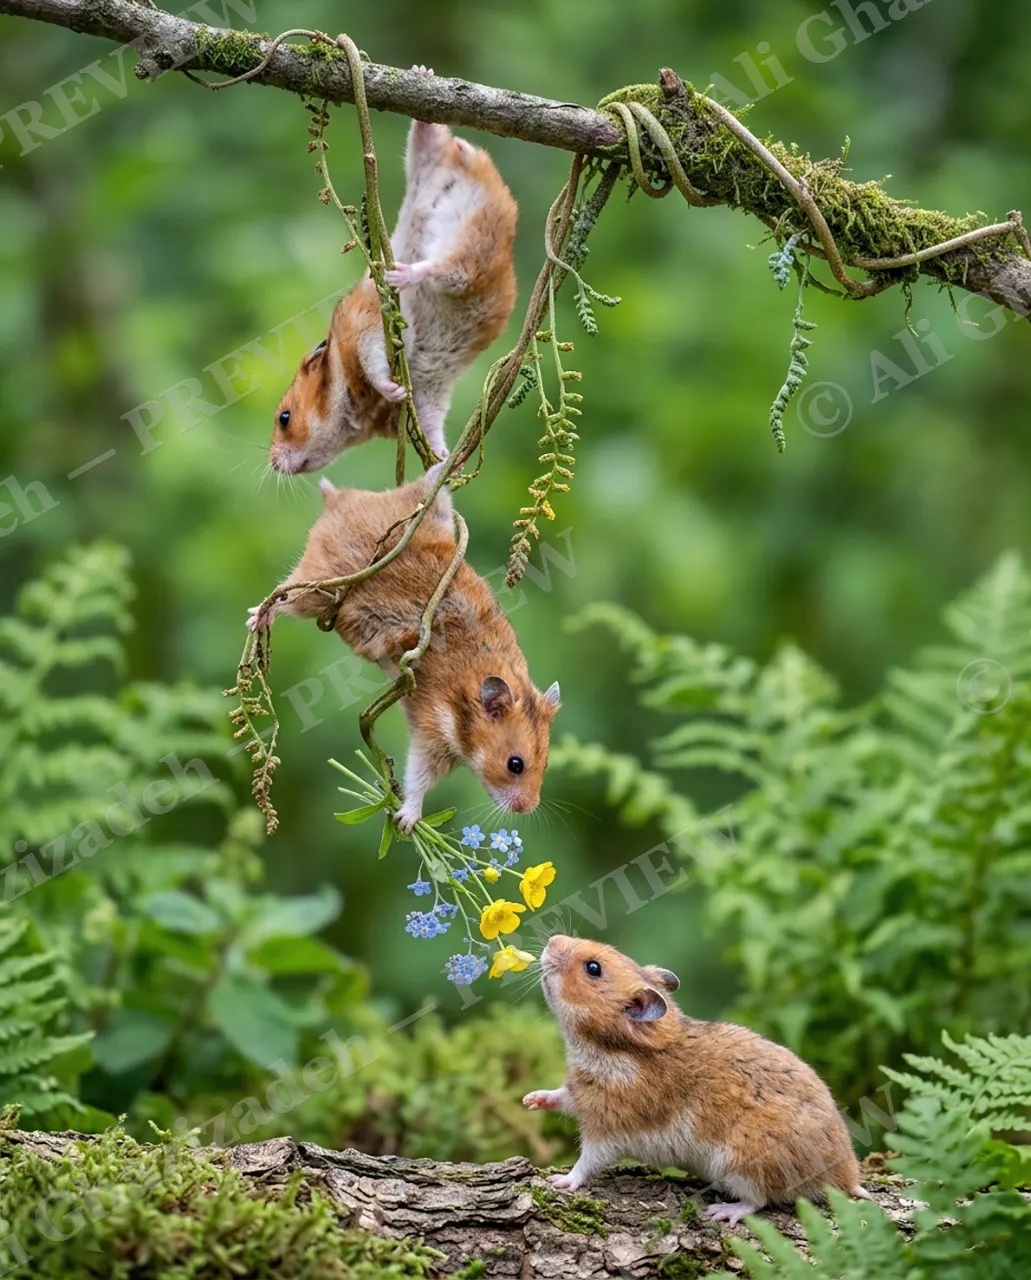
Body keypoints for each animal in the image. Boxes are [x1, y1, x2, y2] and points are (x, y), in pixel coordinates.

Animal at [248, 465, 560, 831]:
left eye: (546, 763)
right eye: (515, 764)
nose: (527, 809)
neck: (465, 703)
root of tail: (337, 499)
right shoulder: (430, 735)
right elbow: (418, 780)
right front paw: (406, 822)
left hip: (432, 508)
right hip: (317, 588)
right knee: (281, 595)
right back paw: (256, 618)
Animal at [271, 71, 518, 473]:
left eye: (285, 418)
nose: (274, 464)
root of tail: (474, 168)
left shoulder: (368, 328)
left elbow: (377, 367)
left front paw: (394, 390)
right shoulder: (428, 393)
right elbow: (432, 426)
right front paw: (444, 462)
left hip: (471, 249)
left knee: (441, 269)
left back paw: (398, 275)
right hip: (425, 178)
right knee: (429, 141)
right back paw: (423, 79)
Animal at [524, 936, 870, 1226]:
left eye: (593, 968)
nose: (552, 940)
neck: (610, 1049)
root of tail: (847, 1176)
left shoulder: (608, 1127)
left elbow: (586, 1162)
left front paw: (560, 1182)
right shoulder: (581, 1093)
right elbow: (560, 1096)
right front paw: (530, 1100)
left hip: (744, 1161)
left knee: (759, 1200)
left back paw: (721, 1212)